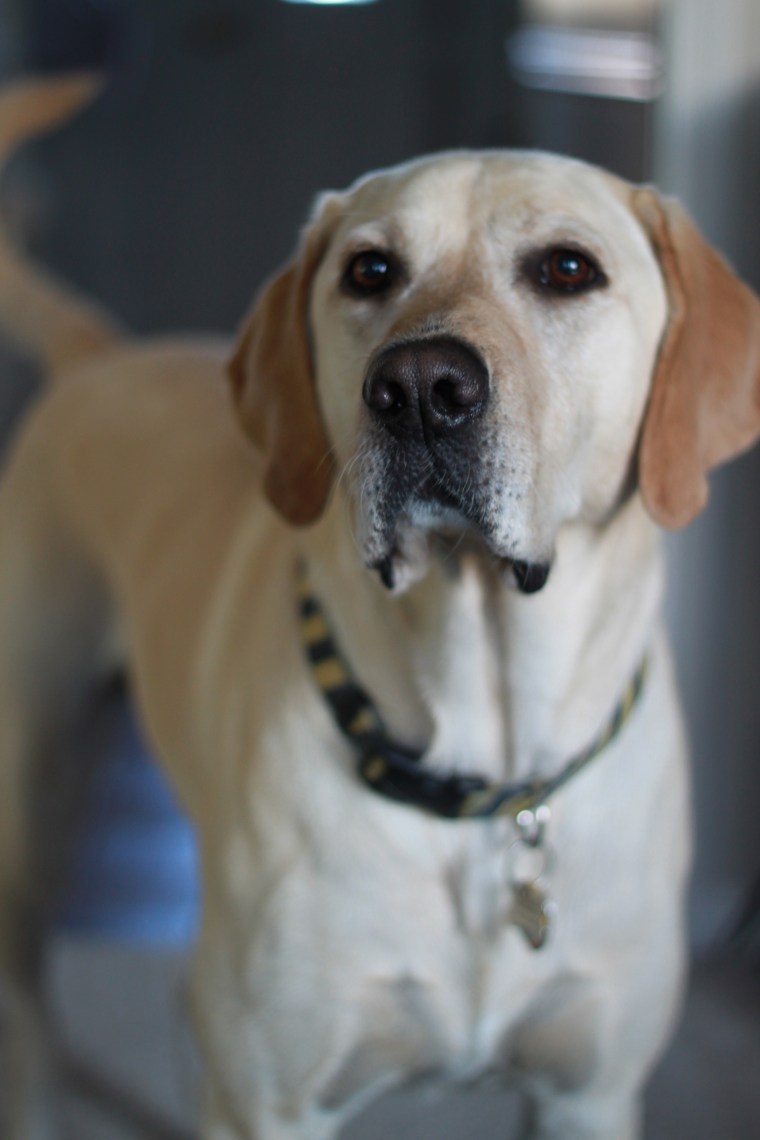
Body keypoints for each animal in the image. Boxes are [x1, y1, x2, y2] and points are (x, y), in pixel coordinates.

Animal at [1, 73, 759, 1140]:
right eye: (369, 271)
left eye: (568, 269)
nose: (418, 387)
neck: (487, 768)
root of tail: (102, 356)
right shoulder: (276, 1103)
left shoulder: (591, 1093)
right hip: (28, 809)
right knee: (31, 1009)